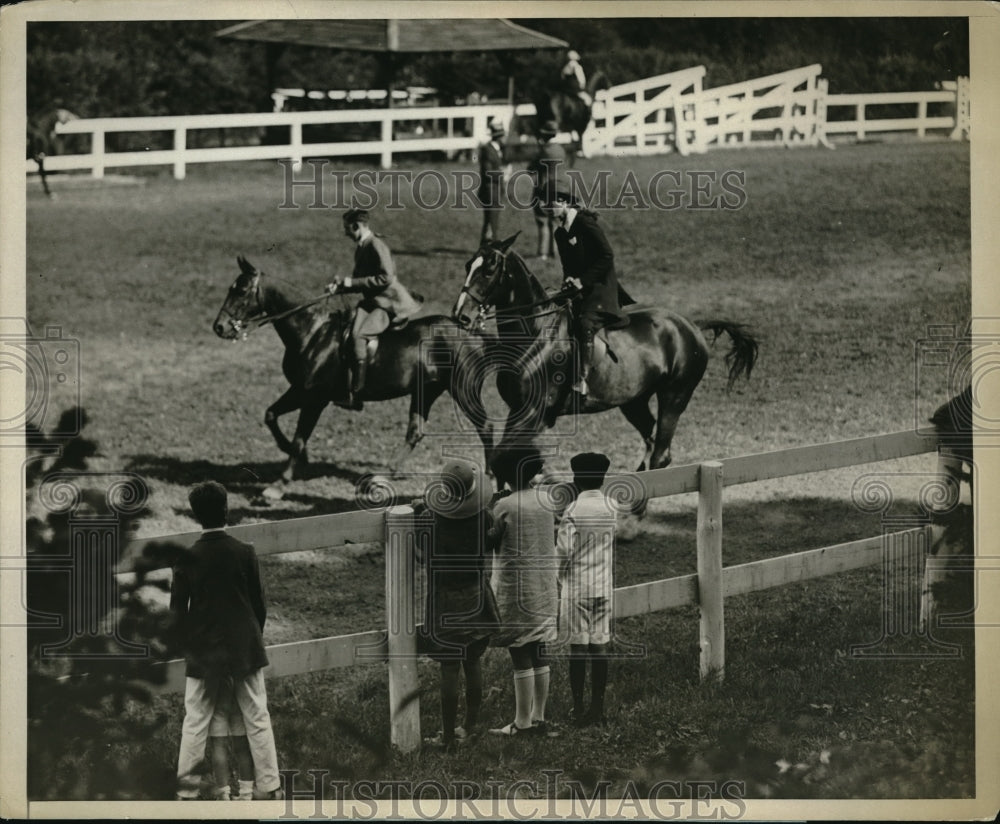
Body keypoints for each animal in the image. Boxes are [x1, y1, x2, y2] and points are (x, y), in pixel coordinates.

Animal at [454, 232, 756, 490]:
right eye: (468, 265)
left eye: (489, 268)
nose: (461, 315)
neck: (534, 336)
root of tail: (691, 326)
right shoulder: (518, 410)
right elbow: (506, 457)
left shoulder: (534, 411)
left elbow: (506, 457)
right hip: (634, 401)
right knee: (650, 441)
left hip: (675, 396)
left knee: (661, 453)